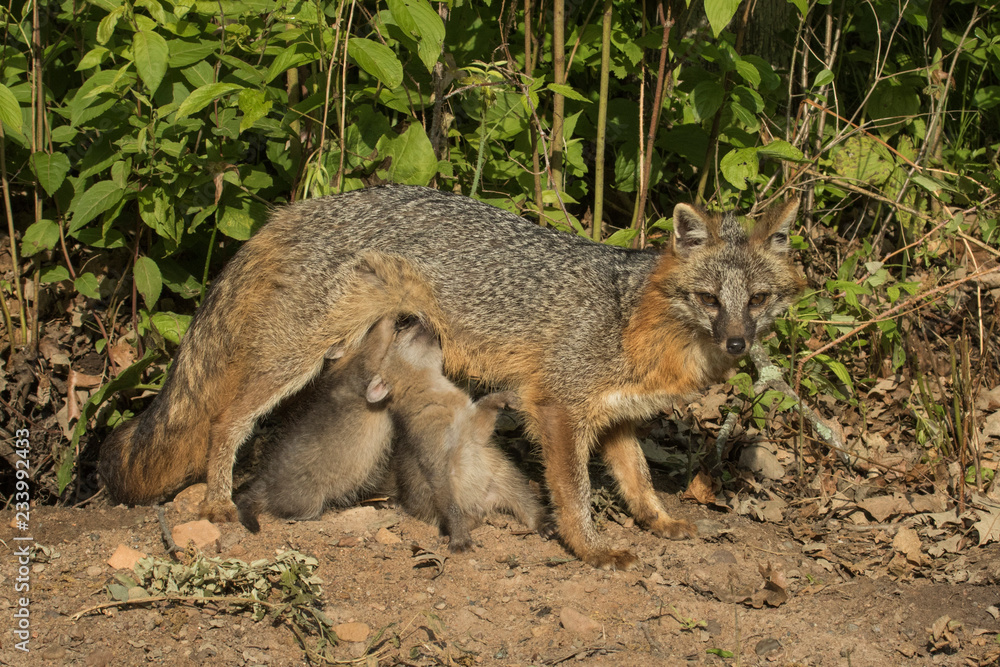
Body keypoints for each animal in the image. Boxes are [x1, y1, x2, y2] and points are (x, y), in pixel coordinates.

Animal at [99, 184, 803, 570]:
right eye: (709, 300)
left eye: (758, 300)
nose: (738, 343)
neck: (636, 317)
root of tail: (302, 207)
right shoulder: (558, 409)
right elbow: (573, 495)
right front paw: (590, 550)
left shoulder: (614, 419)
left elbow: (640, 484)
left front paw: (658, 523)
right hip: (293, 356)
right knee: (226, 417)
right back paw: (218, 500)